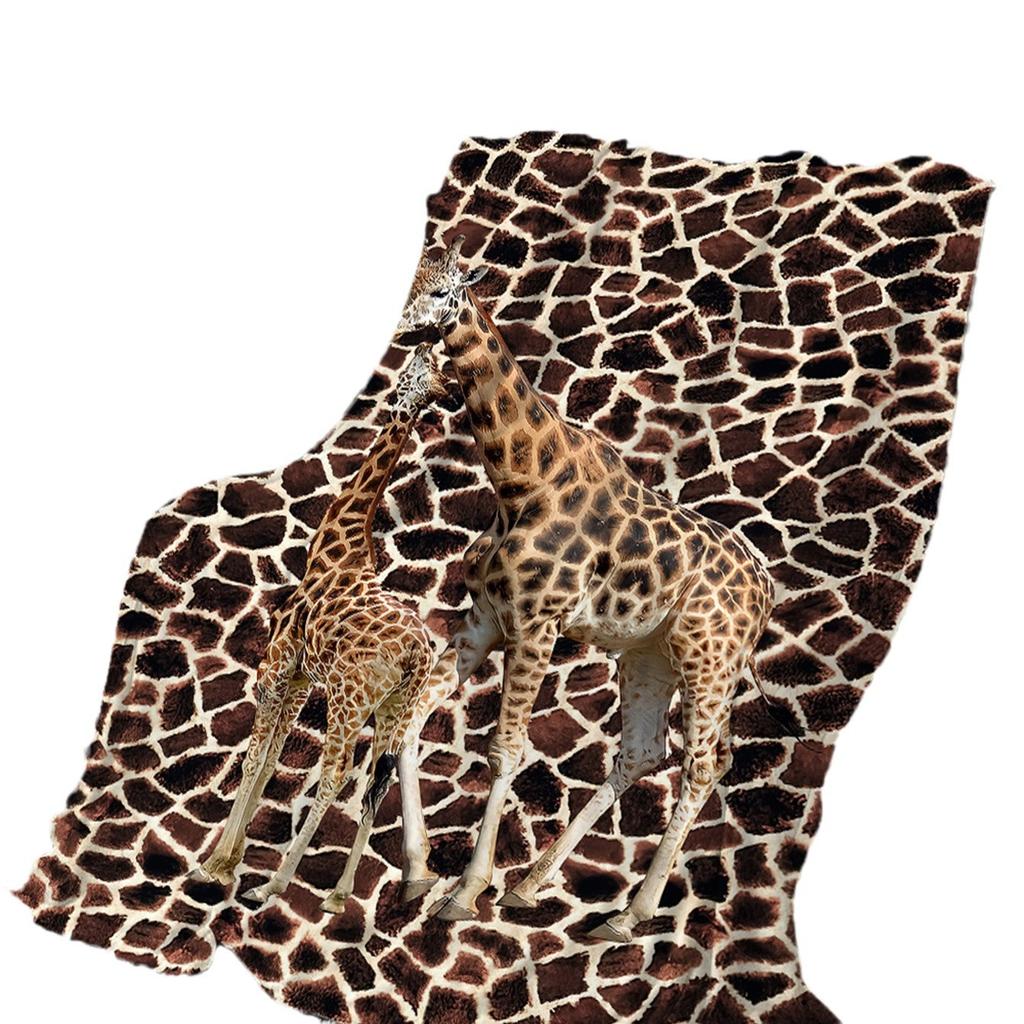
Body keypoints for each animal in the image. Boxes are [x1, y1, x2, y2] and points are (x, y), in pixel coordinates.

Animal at [192, 342, 453, 911]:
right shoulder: (299, 677)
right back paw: (339, 893)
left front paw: (216, 865)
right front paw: (230, 857)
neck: (335, 549)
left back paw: (274, 885)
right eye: (425, 369)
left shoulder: (276, 664)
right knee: (376, 783)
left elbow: (253, 760)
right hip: (394, 708)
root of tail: (417, 655)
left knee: (334, 774)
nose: (415, 374)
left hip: (350, 700)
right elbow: (270, 760)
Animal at [396, 237, 775, 941]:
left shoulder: (536, 624)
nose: (405, 332)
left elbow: (506, 750)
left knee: (703, 764)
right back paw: (532, 886)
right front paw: (417, 872)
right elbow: (414, 714)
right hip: (652, 655)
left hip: (709, 657)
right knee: (642, 752)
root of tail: (768, 592)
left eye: (442, 291)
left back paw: (629, 915)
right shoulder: (486, 617)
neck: (519, 481)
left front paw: (464, 891)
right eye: (407, 283)